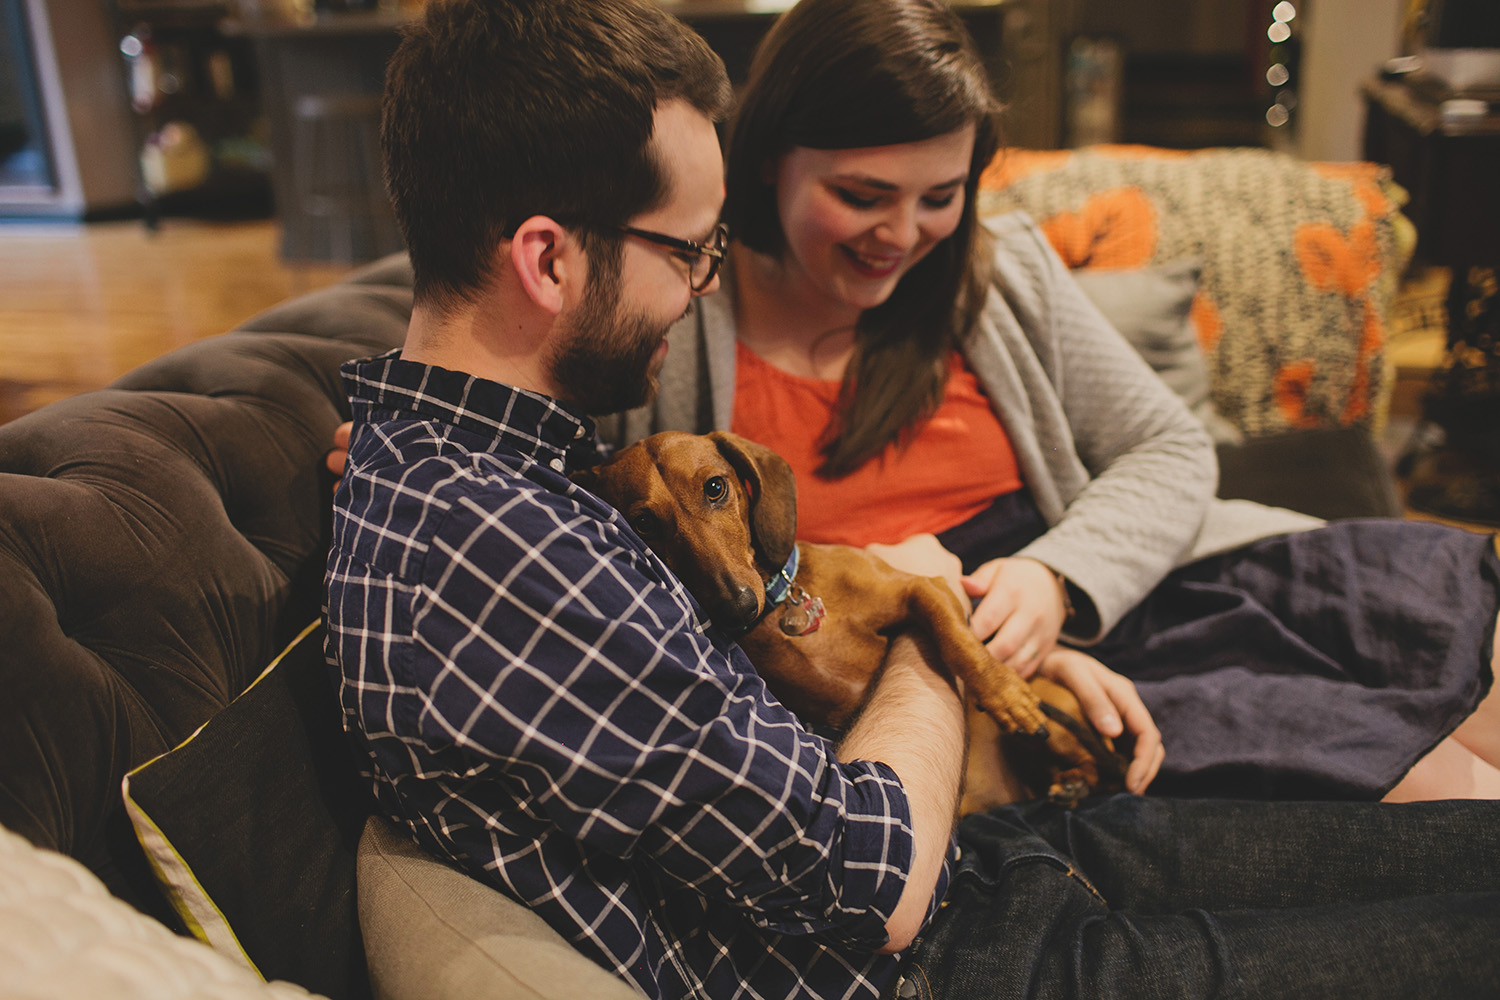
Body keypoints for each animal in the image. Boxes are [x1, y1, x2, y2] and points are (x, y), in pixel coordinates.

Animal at [576, 431, 1128, 803]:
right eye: (643, 523)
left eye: (715, 487)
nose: (737, 607)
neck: (783, 612)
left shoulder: (924, 588)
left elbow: (958, 640)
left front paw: (1007, 695)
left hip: (1061, 720)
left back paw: (1072, 776)